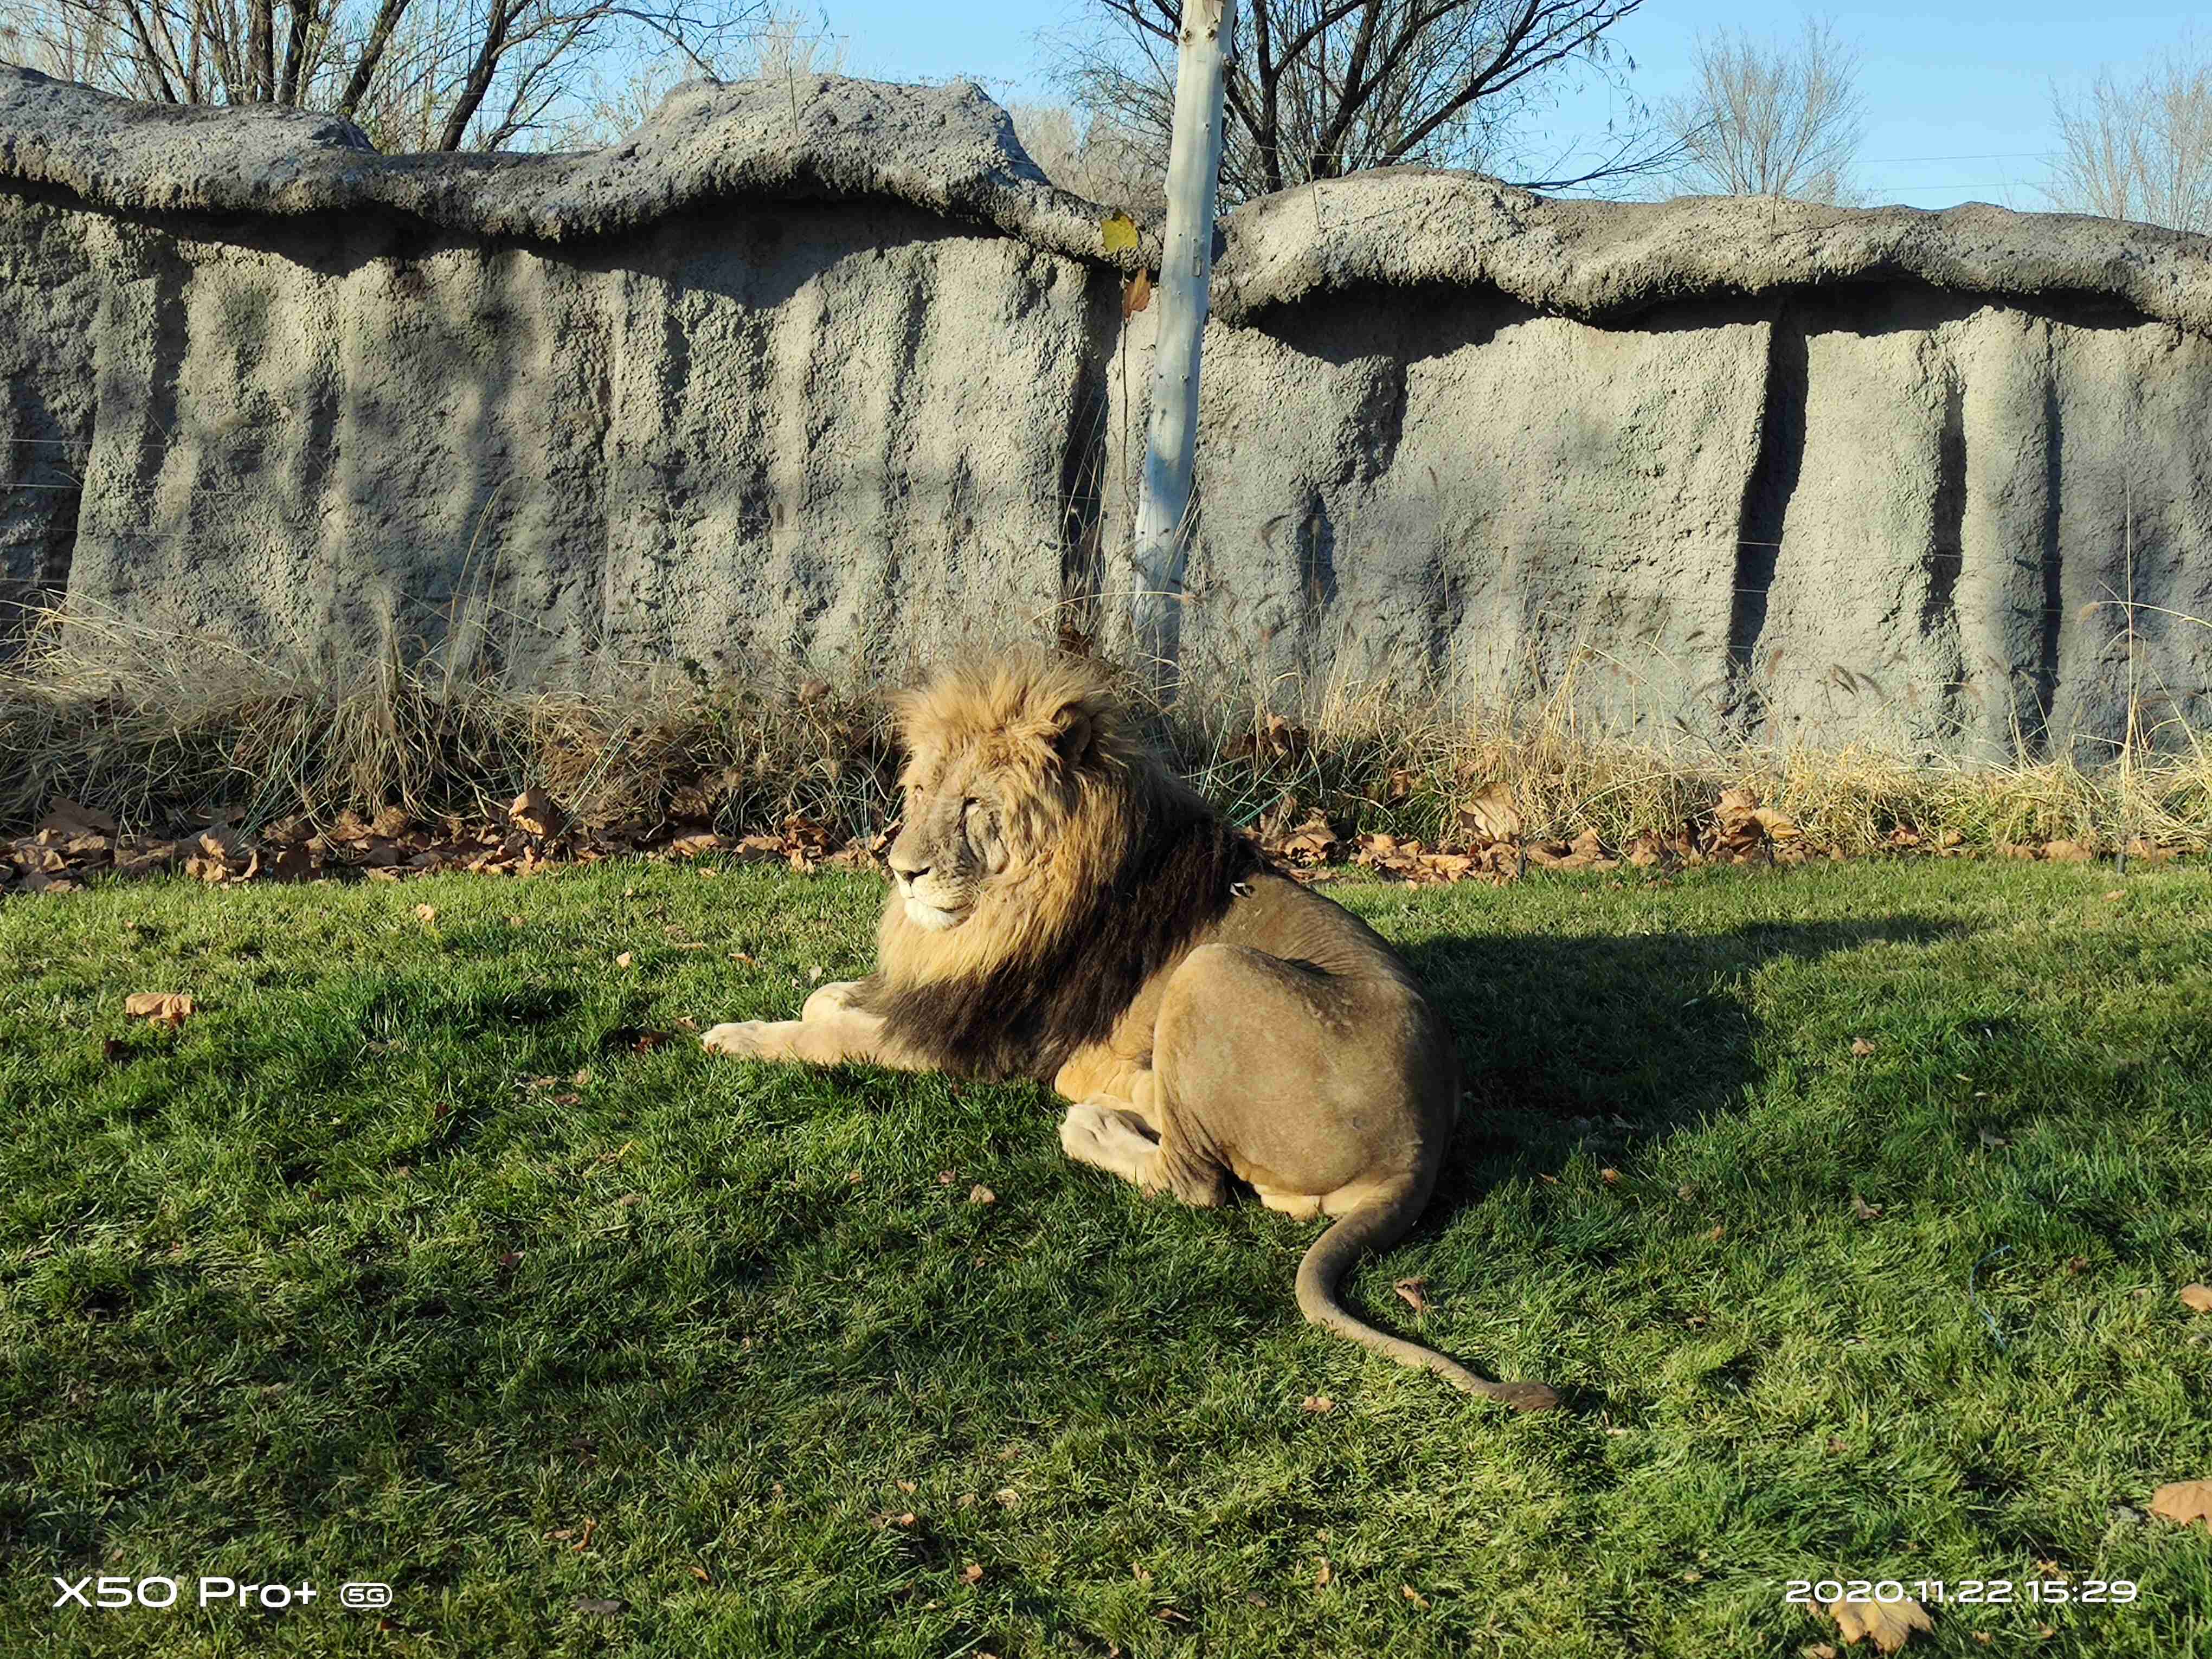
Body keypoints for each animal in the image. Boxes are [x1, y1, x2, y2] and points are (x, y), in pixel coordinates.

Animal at [703, 654, 1557, 1406]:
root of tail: (1419, 1149)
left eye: (975, 804)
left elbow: (822, 1036)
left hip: (1210, 970)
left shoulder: (974, 1042)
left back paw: (1100, 1112)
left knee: (1194, 1182)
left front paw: (733, 1036)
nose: (902, 869)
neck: (1002, 908)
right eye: (919, 791)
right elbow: (826, 1002)